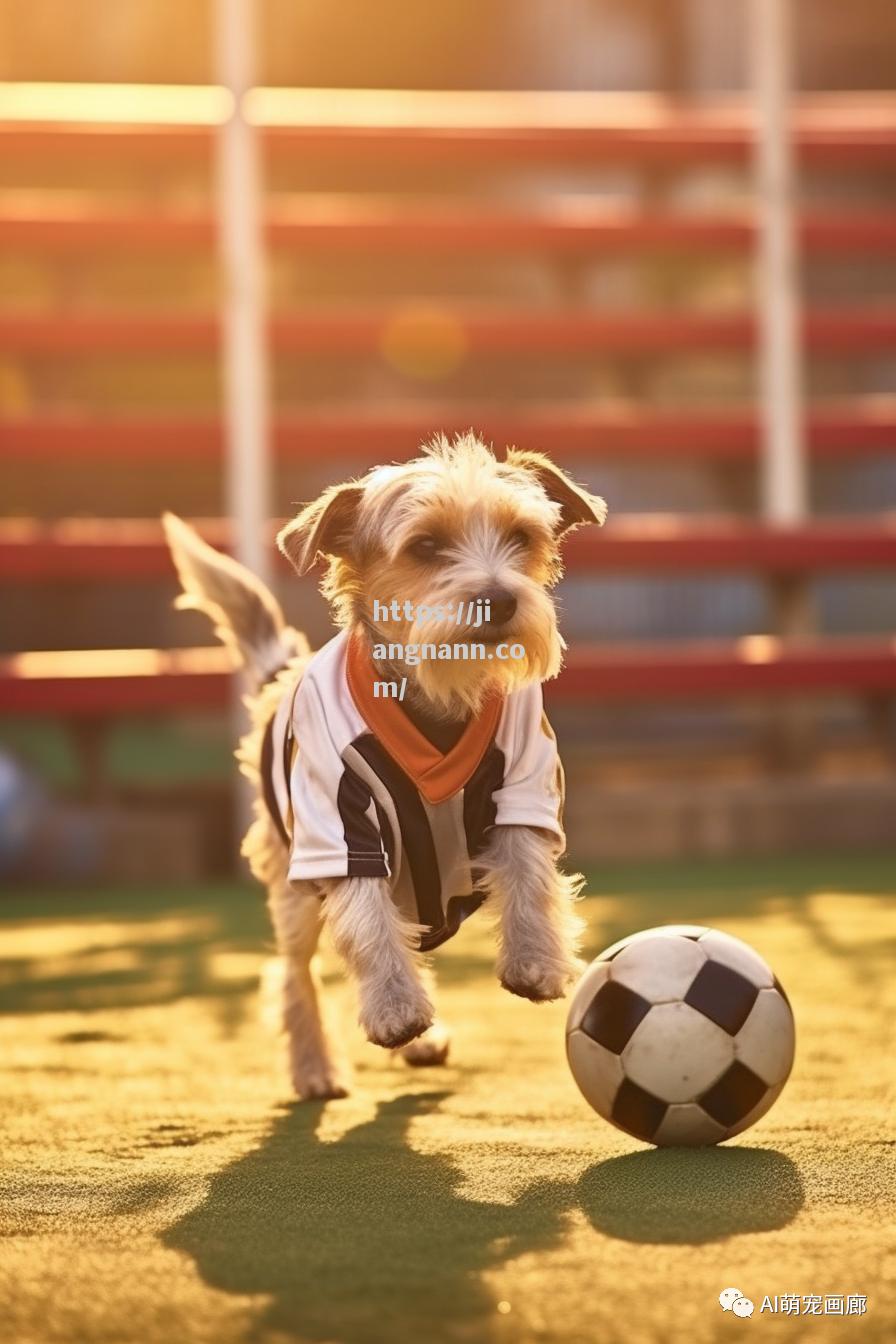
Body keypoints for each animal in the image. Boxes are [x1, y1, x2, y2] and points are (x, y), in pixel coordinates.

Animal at [163, 435, 607, 1096]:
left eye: (521, 536)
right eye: (425, 546)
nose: (499, 598)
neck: (435, 698)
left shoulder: (525, 784)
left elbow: (529, 871)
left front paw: (536, 962)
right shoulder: (339, 826)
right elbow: (369, 921)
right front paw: (397, 1010)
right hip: (291, 884)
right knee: (296, 970)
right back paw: (315, 1067)